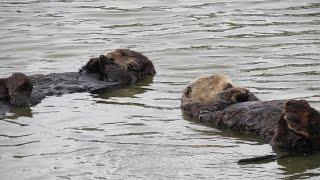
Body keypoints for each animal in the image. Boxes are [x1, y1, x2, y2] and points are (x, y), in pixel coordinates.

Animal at [0, 48, 155, 114]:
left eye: (124, 53)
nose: (111, 55)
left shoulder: (128, 78)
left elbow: (117, 73)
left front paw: (103, 58)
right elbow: (86, 69)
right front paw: (95, 59)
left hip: (33, 98)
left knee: (20, 101)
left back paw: (18, 80)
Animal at [181, 74, 320, 158]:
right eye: (210, 81)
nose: (229, 84)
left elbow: (253, 98)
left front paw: (244, 91)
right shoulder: (200, 107)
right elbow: (219, 100)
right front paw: (236, 90)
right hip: (284, 140)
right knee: (287, 142)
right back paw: (296, 112)